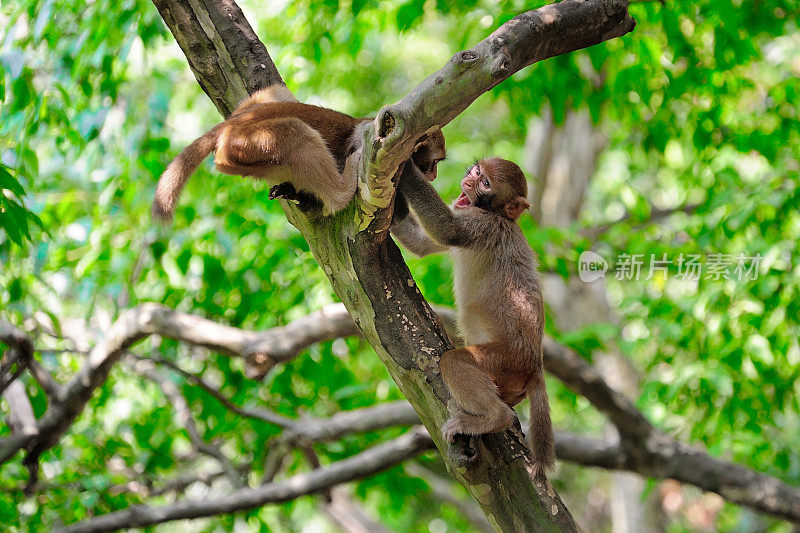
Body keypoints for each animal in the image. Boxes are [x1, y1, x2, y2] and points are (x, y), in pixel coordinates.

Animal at [153, 84, 446, 220]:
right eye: (433, 162)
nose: (433, 175)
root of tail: (231, 123)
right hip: (247, 140)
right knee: (296, 131)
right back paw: (340, 193)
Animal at [390, 155, 552, 474]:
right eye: (477, 172)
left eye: (485, 183)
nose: (468, 181)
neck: (501, 217)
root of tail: (534, 366)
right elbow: (422, 243)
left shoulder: (484, 226)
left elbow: (446, 228)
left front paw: (405, 165)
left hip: (504, 362)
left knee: (455, 361)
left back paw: (494, 418)